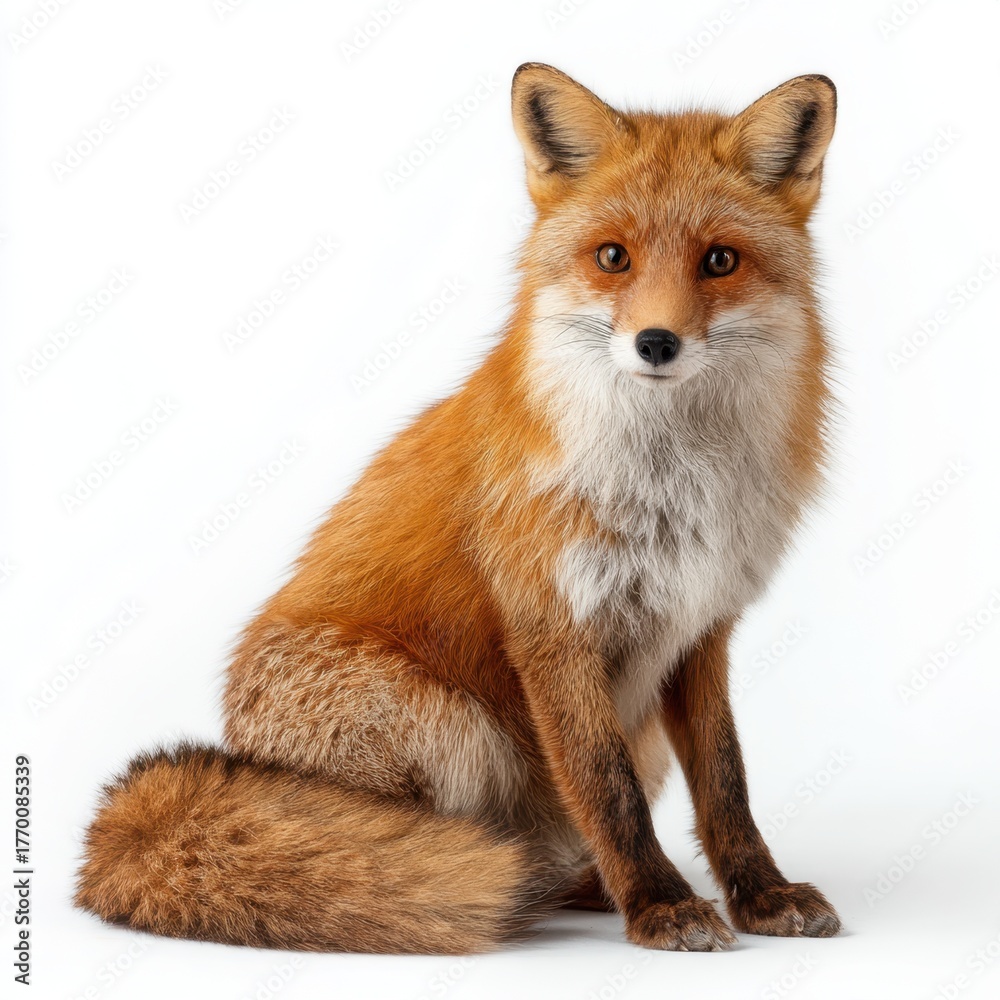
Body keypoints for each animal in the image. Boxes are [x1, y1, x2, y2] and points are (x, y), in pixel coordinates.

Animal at [76, 63, 842, 953]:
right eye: (612, 257)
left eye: (720, 260)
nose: (656, 343)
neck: (671, 485)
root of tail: (245, 752)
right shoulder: (551, 624)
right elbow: (605, 786)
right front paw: (658, 904)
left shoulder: (701, 626)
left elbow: (727, 787)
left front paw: (760, 893)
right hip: (447, 725)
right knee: (400, 851)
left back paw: (583, 887)